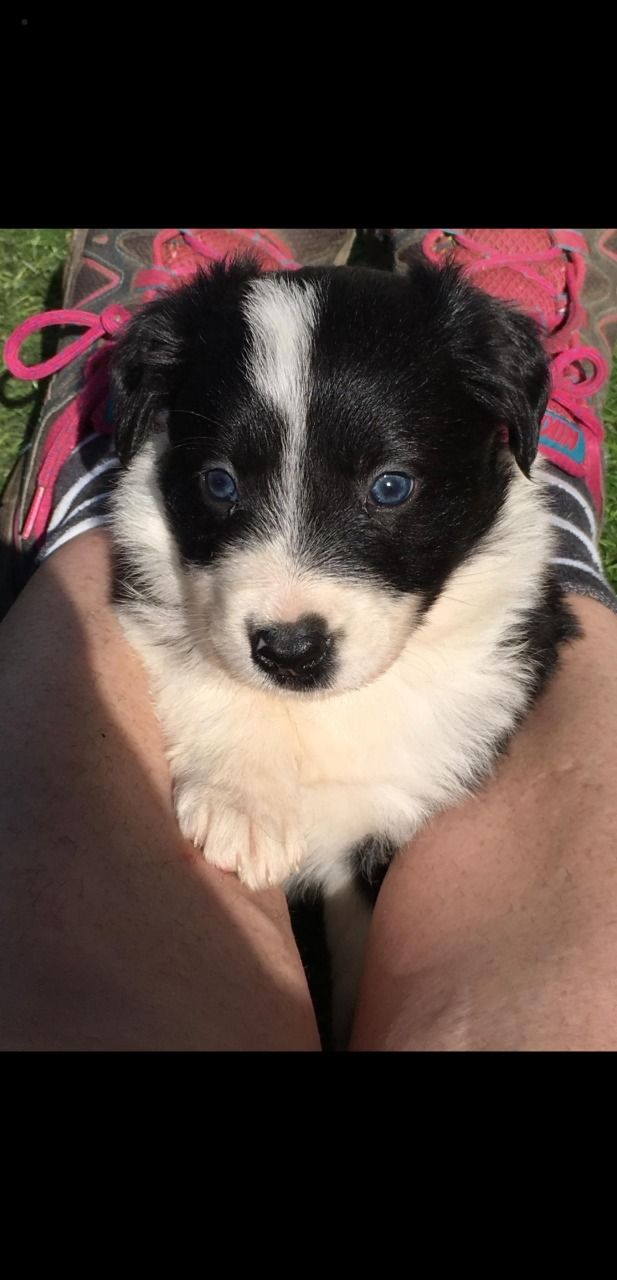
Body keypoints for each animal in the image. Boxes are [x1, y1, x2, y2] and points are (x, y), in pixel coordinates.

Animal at [108, 254, 576, 1044]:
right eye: (218, 483)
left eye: (390, 486)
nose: (290, 650)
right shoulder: (150, 582)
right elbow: (199, 658)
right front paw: (243, 804)